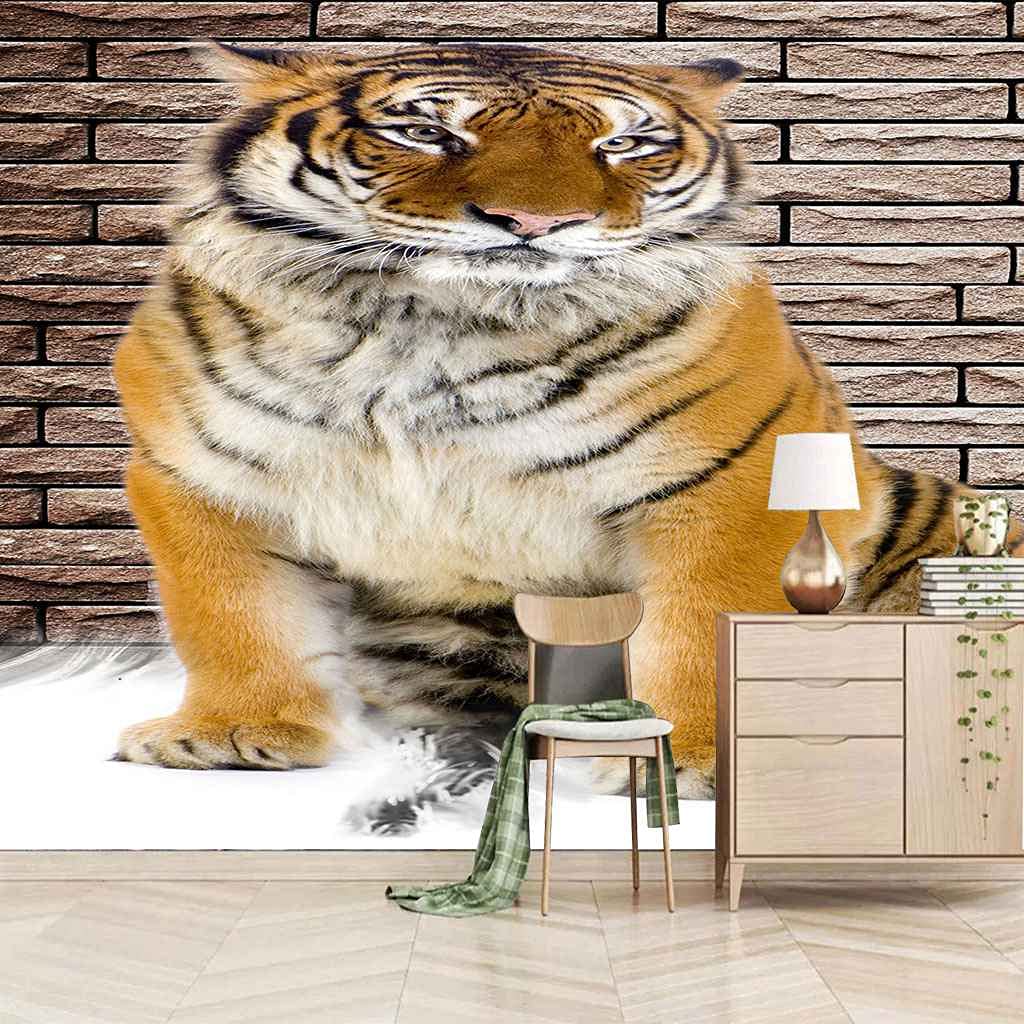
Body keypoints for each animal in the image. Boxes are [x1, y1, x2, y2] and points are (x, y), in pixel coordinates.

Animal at [113, 41, 1011, 798]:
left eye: (624, 146)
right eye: (424, 131)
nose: (535, 224)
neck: (435, 328)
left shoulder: (733, 481)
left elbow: (706, 623)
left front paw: (695, 760)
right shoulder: (200, 478)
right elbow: (234, 614)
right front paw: (232, 733)